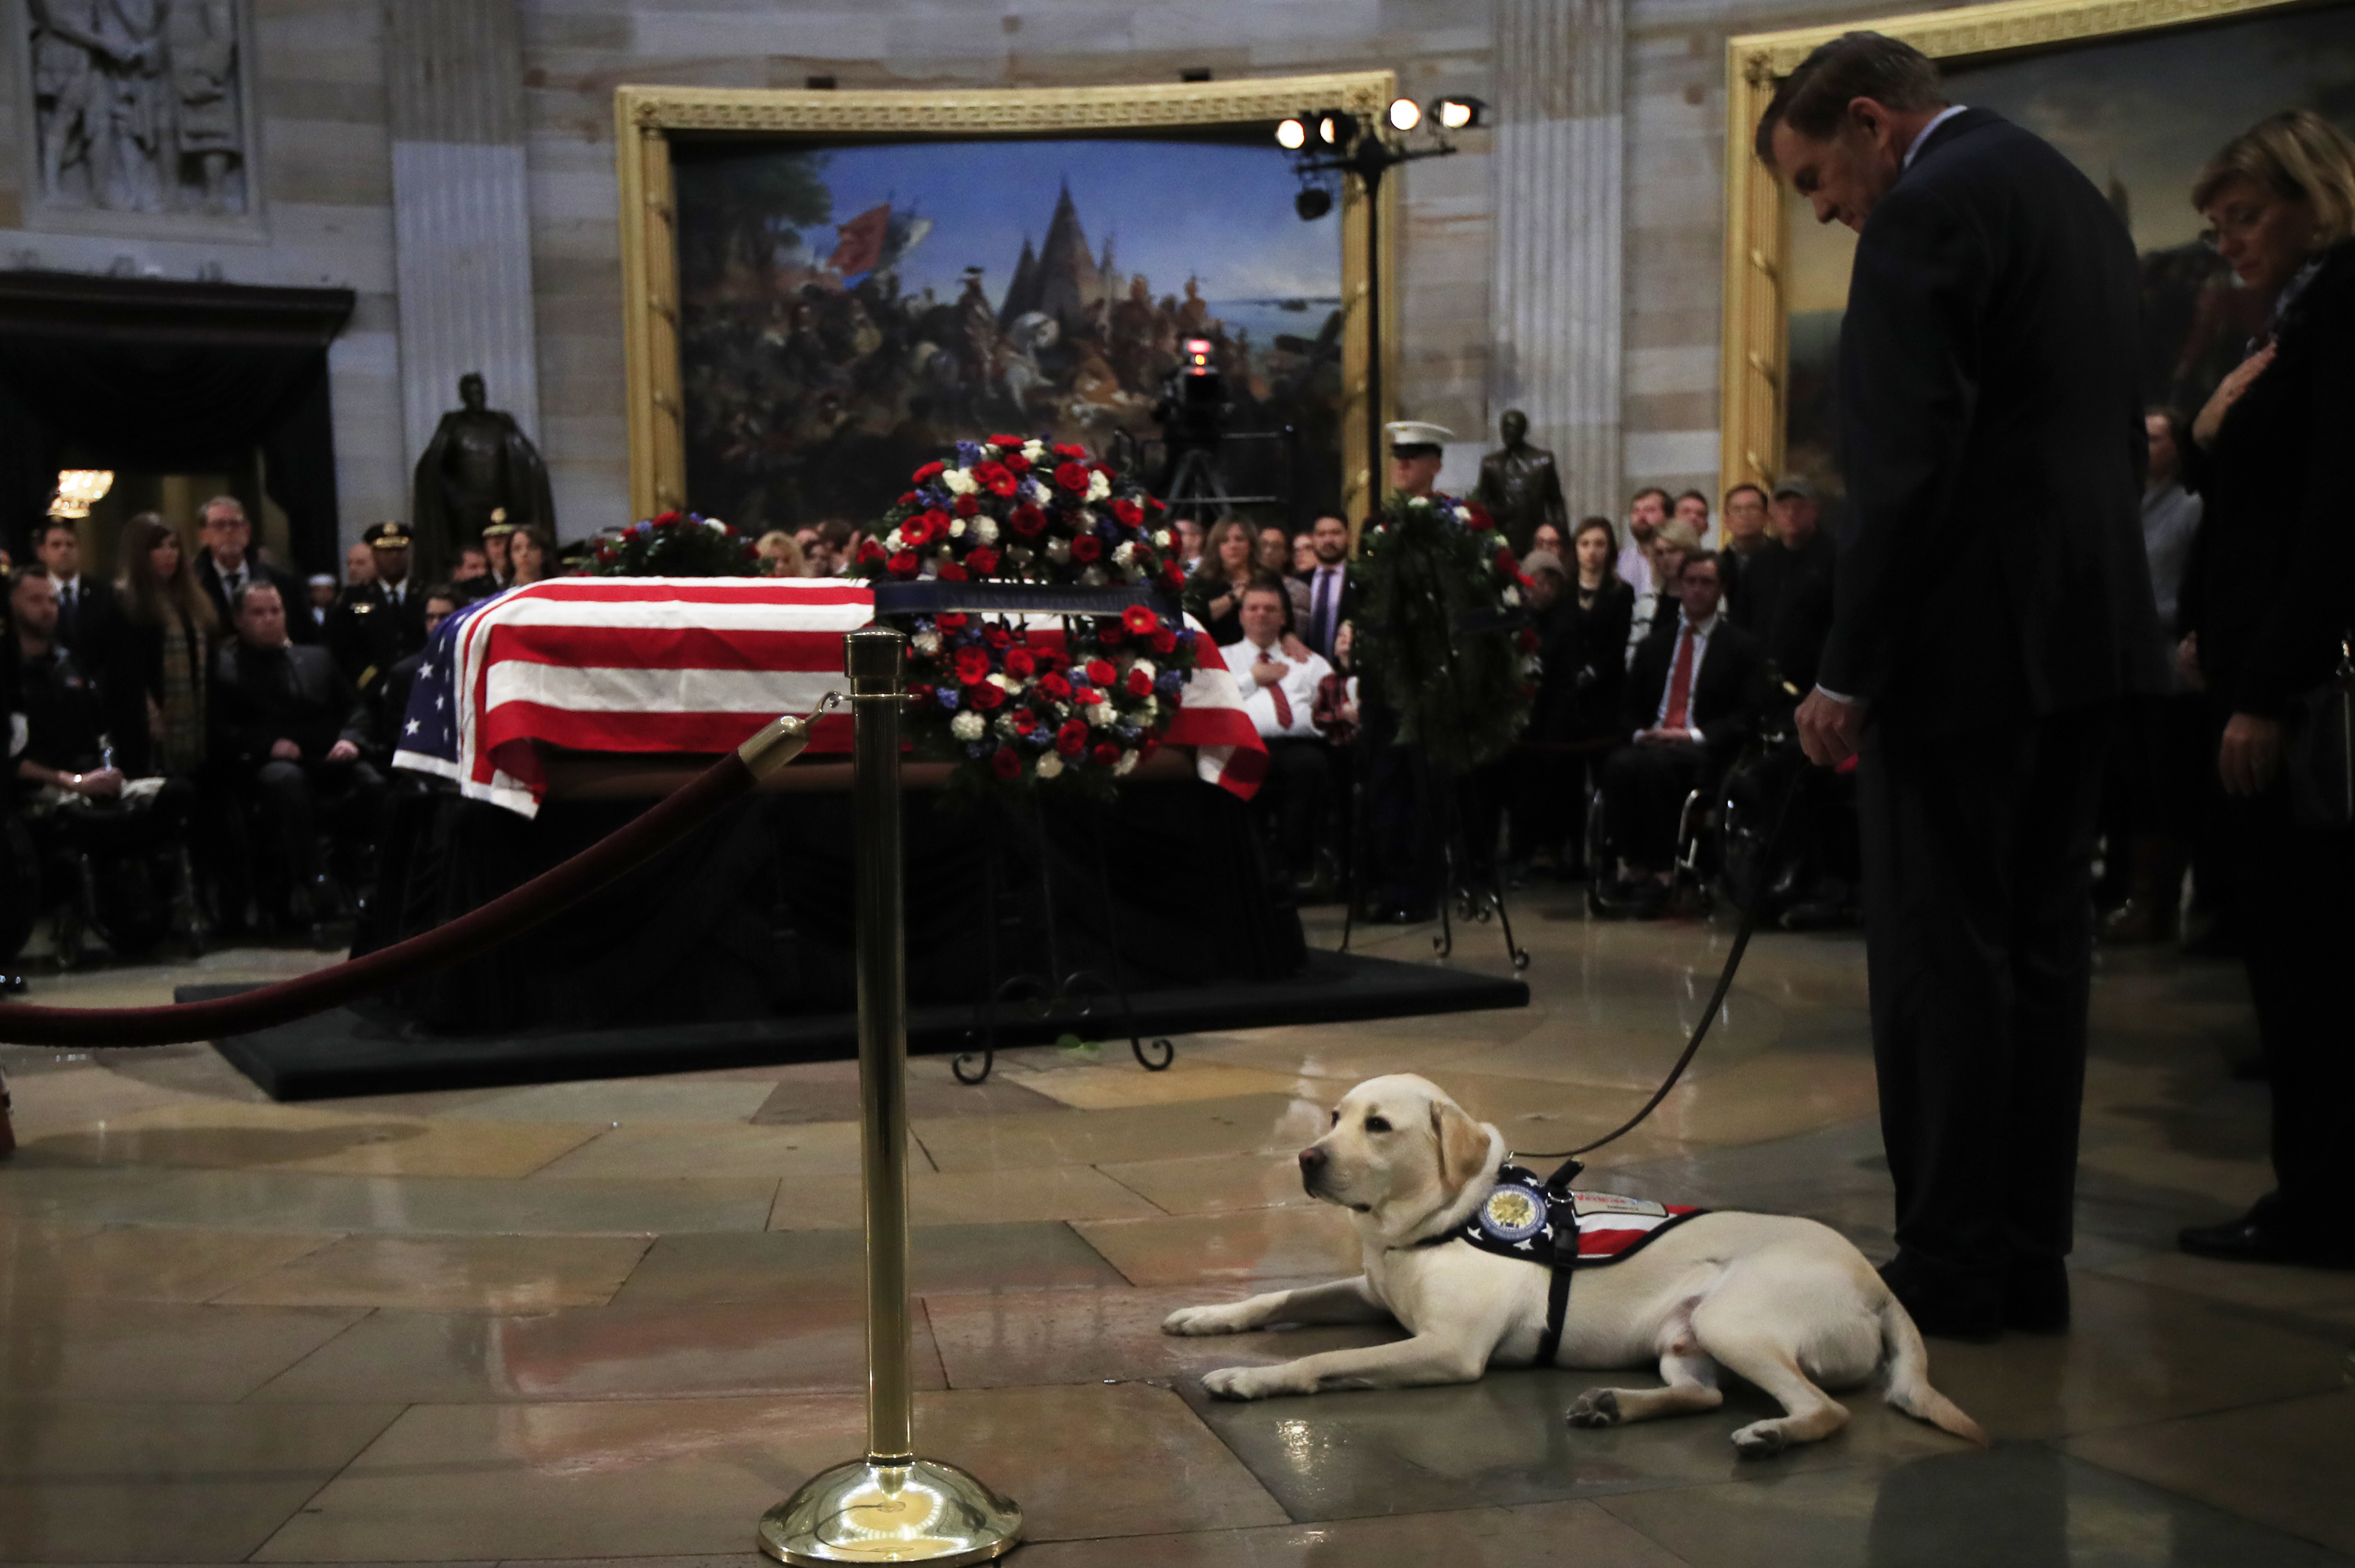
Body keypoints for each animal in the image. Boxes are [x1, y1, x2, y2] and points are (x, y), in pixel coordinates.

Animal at [1158, 1069, 1987, 1450]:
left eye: (1380, 1125)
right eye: (1333, 1116)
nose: (1306, 1157)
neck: (1434, 1221)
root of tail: (1878, 1284)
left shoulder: (1447, 1348)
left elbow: (1325, 1359)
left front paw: (1249, 1377)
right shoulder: (1370, 1291)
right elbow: (1282, 1299)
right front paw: (1207, 1316)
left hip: (1737, 1320)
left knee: (1825, 1409)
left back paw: (1774, 1434)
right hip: (1686, 1336)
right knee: (1701, 1397)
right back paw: (1612, 1405)